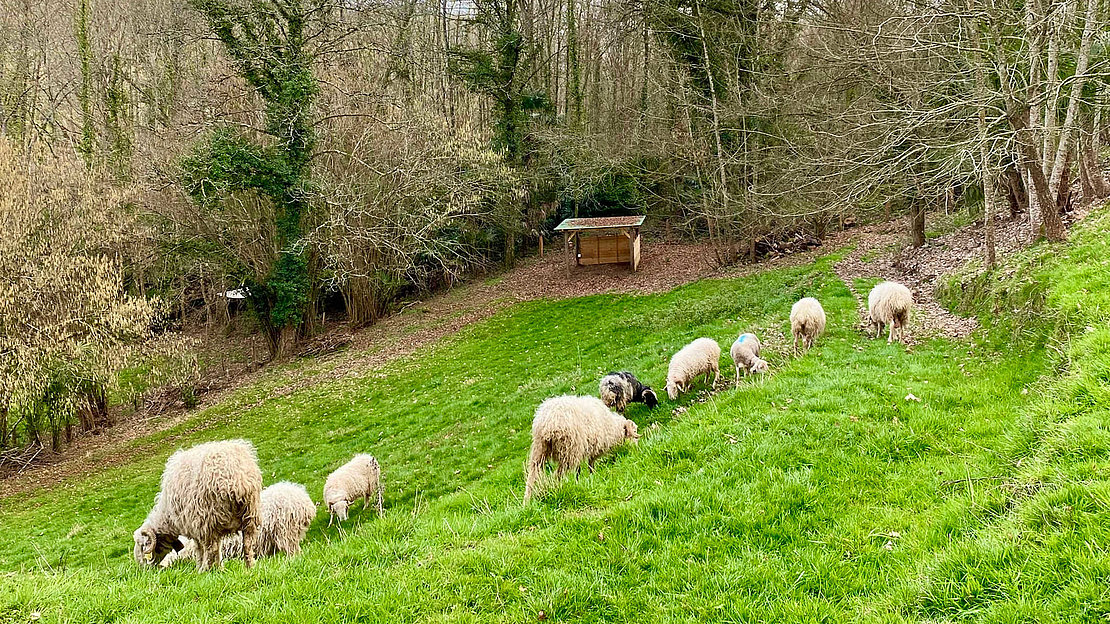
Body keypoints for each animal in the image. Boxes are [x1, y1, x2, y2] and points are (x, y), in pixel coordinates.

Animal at [133, 437, 260, 568]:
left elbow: (199, 550)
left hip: (208, 518)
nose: (143, 569)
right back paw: (249, 567)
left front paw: (201, 567)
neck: (167, 516)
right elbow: (217, 549)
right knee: (247, 543)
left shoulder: (195, 526)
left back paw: (205, 569)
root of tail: (236, 480)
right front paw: (219, 567)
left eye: (143, 546)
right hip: (250, 514)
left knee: (211, 549)